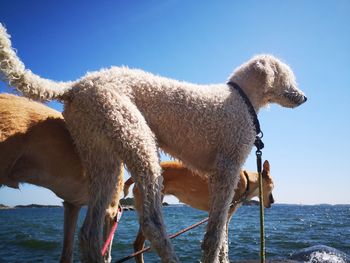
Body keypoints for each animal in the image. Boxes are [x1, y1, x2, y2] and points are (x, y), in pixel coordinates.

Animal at [124, 161, 274, 263]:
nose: (273, 202)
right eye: (273, 185)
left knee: (137, 244)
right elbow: (223, 246)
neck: (247, 180)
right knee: (139, 244)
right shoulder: (225, 216)